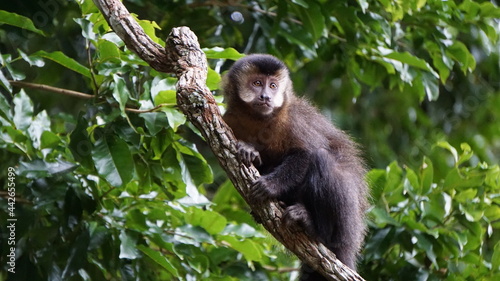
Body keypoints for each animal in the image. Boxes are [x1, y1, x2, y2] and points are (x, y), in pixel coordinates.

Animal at [221, 53, 370, 276]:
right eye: (257, 83)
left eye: (273, 86)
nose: (266, 96)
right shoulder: (229, 119)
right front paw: (251, 152)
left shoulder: (293, 119)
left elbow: (306, 153)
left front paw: (270, 186)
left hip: (346, 228)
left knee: (321, 159)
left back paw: (315, 229)